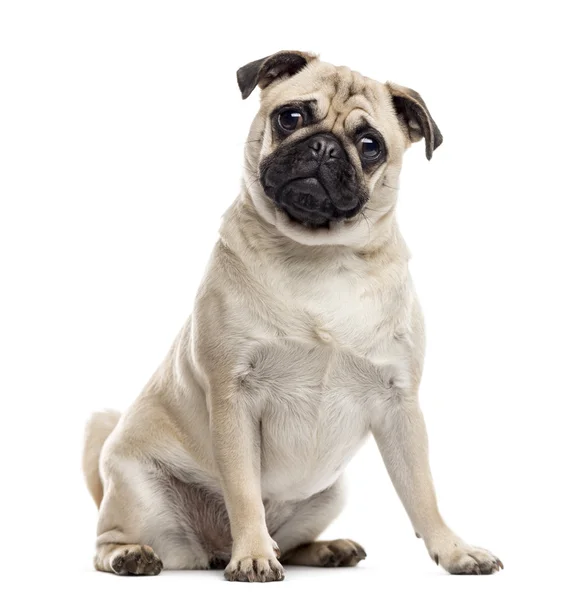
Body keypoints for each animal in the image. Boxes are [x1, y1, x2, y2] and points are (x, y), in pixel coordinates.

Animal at [82, 51, 502, 580]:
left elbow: (422, 492)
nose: (324, 147)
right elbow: (244, 492)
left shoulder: (400, 404)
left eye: (370, 146)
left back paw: (327, 548)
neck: (319, 256)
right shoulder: (234, 397)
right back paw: (135, 554)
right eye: (291, 117)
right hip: (137, 491)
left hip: (329, 494)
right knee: (108, 539)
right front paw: (252, 555)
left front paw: (454, 549)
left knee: (293, 540)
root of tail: (212, 548)